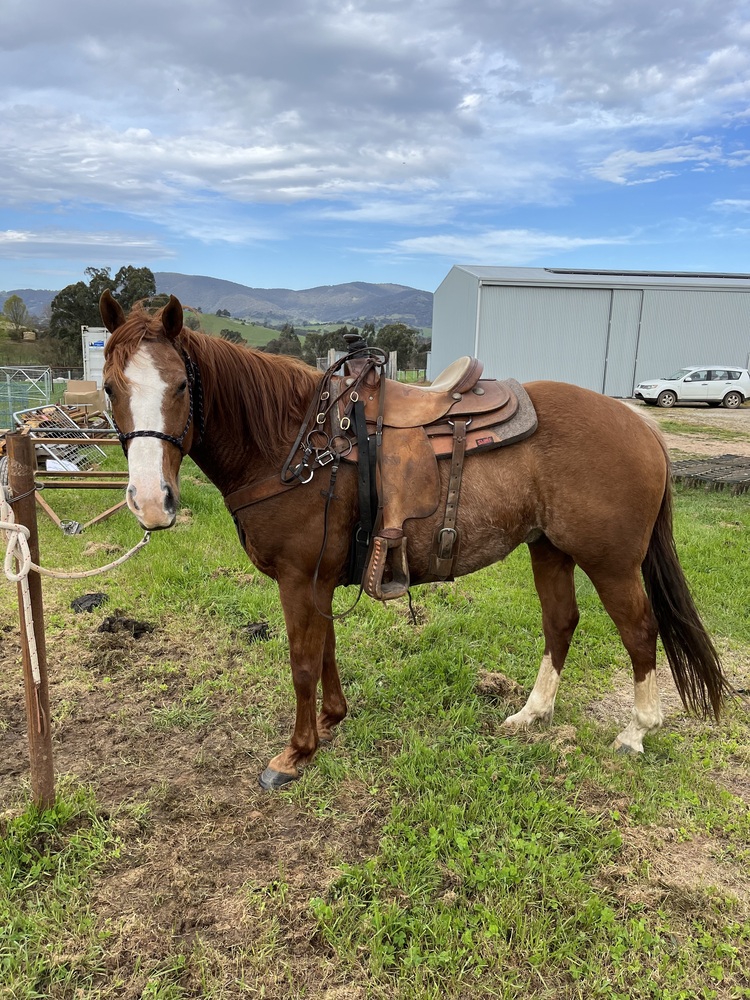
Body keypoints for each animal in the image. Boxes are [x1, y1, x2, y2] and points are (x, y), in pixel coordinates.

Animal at [99, 291, 730, 790]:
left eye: (182, 385)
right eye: (108, 388)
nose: (151, 501)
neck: (299, 446)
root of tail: (641, 426)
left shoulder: (299, 578)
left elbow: (302, 661)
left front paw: (296, 754)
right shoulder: (320, 579)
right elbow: (326, 650)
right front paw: (331, 720)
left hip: (612, 562)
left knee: (640, 633)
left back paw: (636, 732)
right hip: (549, 548)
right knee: (561, 623)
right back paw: (531, 714)